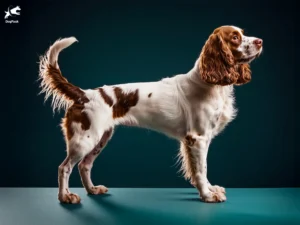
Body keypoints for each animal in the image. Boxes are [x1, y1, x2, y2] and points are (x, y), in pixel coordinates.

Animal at [38, 25, 262, 204]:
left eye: (243, 33)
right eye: (235, 37)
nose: (260, 41)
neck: (211, 83)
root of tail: (84, 94)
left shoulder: (202, 140)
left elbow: (203, 169)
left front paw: (210, 188)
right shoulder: (197, 138)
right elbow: (201, 170)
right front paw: (207, 195)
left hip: (101, 138)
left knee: (85, 165)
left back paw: (92, 190)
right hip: (85, 139)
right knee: (64, 167)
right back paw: (65, 197)